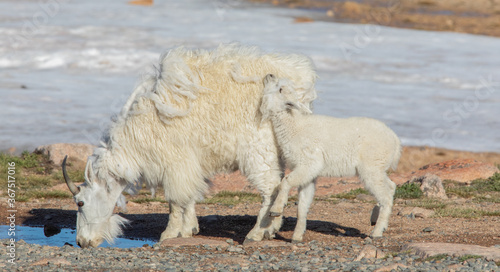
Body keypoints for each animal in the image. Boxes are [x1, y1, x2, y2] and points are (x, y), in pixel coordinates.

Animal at [62, 43, 318, 248]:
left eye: (80, 202)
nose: (82, 242)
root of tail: (300, 81)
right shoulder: (190, 162)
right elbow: (190, 196)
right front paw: (189, 229)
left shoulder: (173, 161)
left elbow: (175, 200)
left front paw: (169, 234)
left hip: (259, 149)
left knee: (270, 188)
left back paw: (257, 233)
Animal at [262, 73, 402, 241]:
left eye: (280, 89)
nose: (269, 75)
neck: (295, 127)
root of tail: (395, 141)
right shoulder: (309, 173)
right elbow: (302, 205)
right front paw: (297, 236)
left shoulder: (309, 162)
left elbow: (285, 182)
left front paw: (275, 210)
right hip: (378, 167)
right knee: (391, 186)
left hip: (372, 164)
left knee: (385, 195)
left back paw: (376, 232)